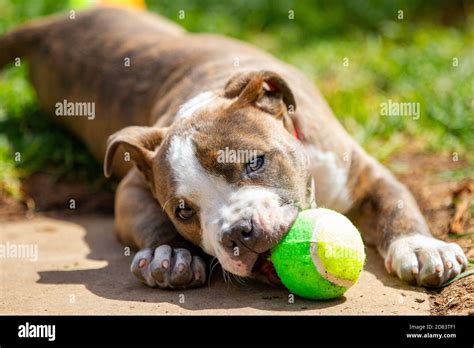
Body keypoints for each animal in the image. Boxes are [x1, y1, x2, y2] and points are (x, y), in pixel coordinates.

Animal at [0, 8, 466, 290]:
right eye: (183, 211)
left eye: (255, 162)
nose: (239, 233)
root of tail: (51, 27)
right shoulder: (131, 185)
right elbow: (149, 218)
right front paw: (172, 254)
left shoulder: (361, 170)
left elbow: (396, 203)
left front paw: (422, 247)